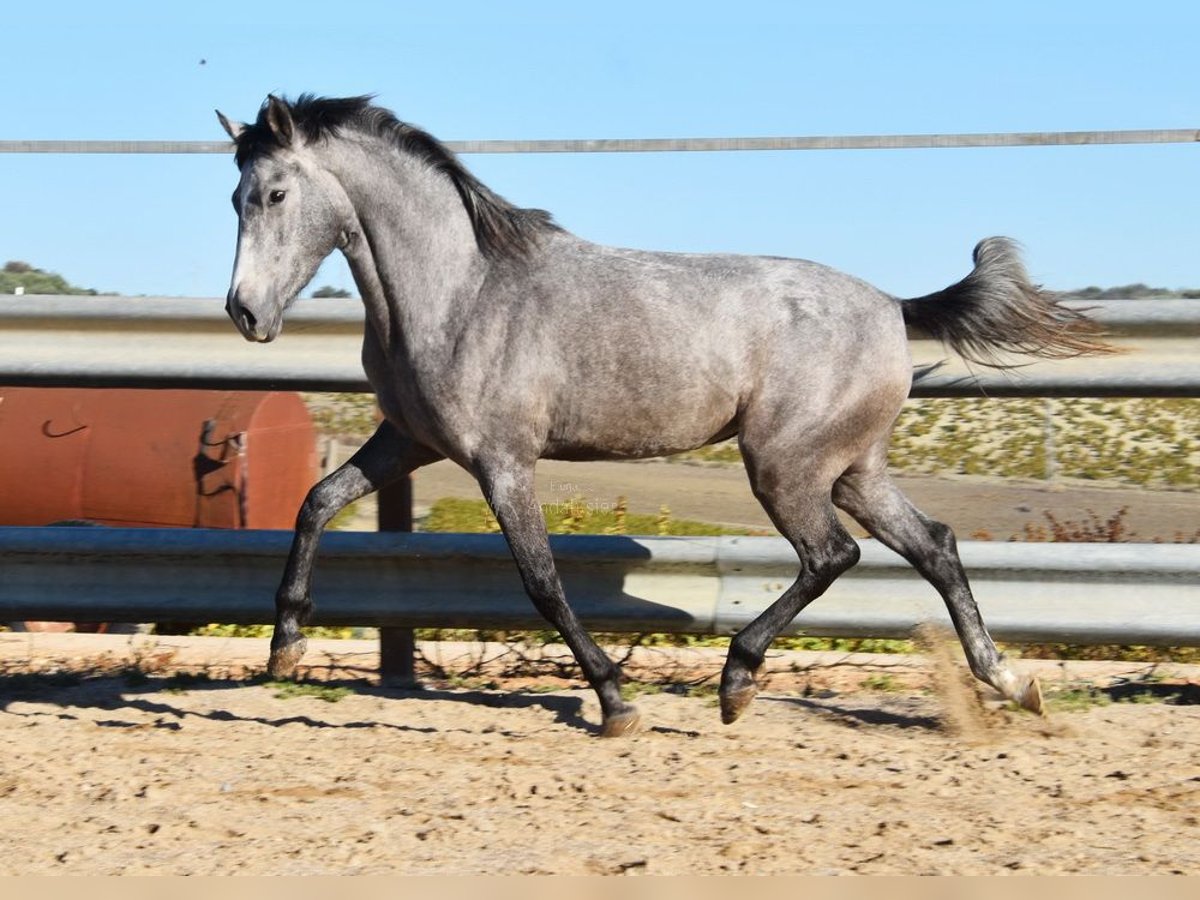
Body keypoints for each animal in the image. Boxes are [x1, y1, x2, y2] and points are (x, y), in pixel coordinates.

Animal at [218, 95, 1113, 734]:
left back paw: (737, 682)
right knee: (934, 546)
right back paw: (1012, 684)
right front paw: (287, 647)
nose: (244, 314)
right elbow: (315, 503)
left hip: (786, 467)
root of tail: (895, 306)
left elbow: (541, 582)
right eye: (234, 196)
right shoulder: (407, 442)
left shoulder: (502, 463)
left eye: (275, 192)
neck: (458, 293)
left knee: (833, 555)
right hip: (852, 469)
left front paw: (617, 703)